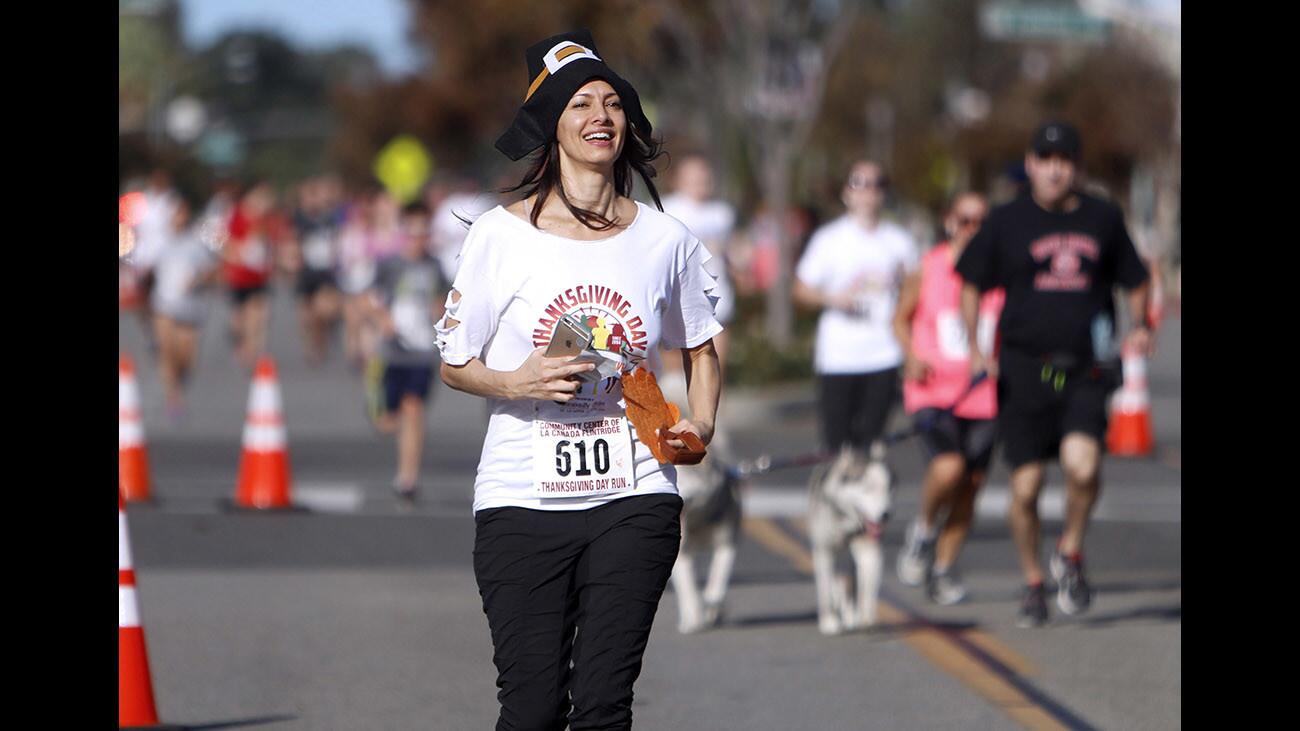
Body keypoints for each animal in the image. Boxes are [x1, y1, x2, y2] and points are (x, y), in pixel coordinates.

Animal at [670, 455, 743, 632]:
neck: (698, 521)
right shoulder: (682, 555)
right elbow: (688, 588)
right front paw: (693, 621)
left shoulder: (727, 544)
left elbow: (719, 577)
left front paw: (712, 602)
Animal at [806, 442, 889, 634]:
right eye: (868, 489)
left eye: (887, 488)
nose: (885, 515)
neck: (846, 520)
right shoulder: (824, 550)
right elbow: (825, 587)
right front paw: (828, 621)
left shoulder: (868, 547)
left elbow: (867, 585)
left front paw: (865, 618)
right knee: (836, 581)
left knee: (850, 582)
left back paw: (852, 615)